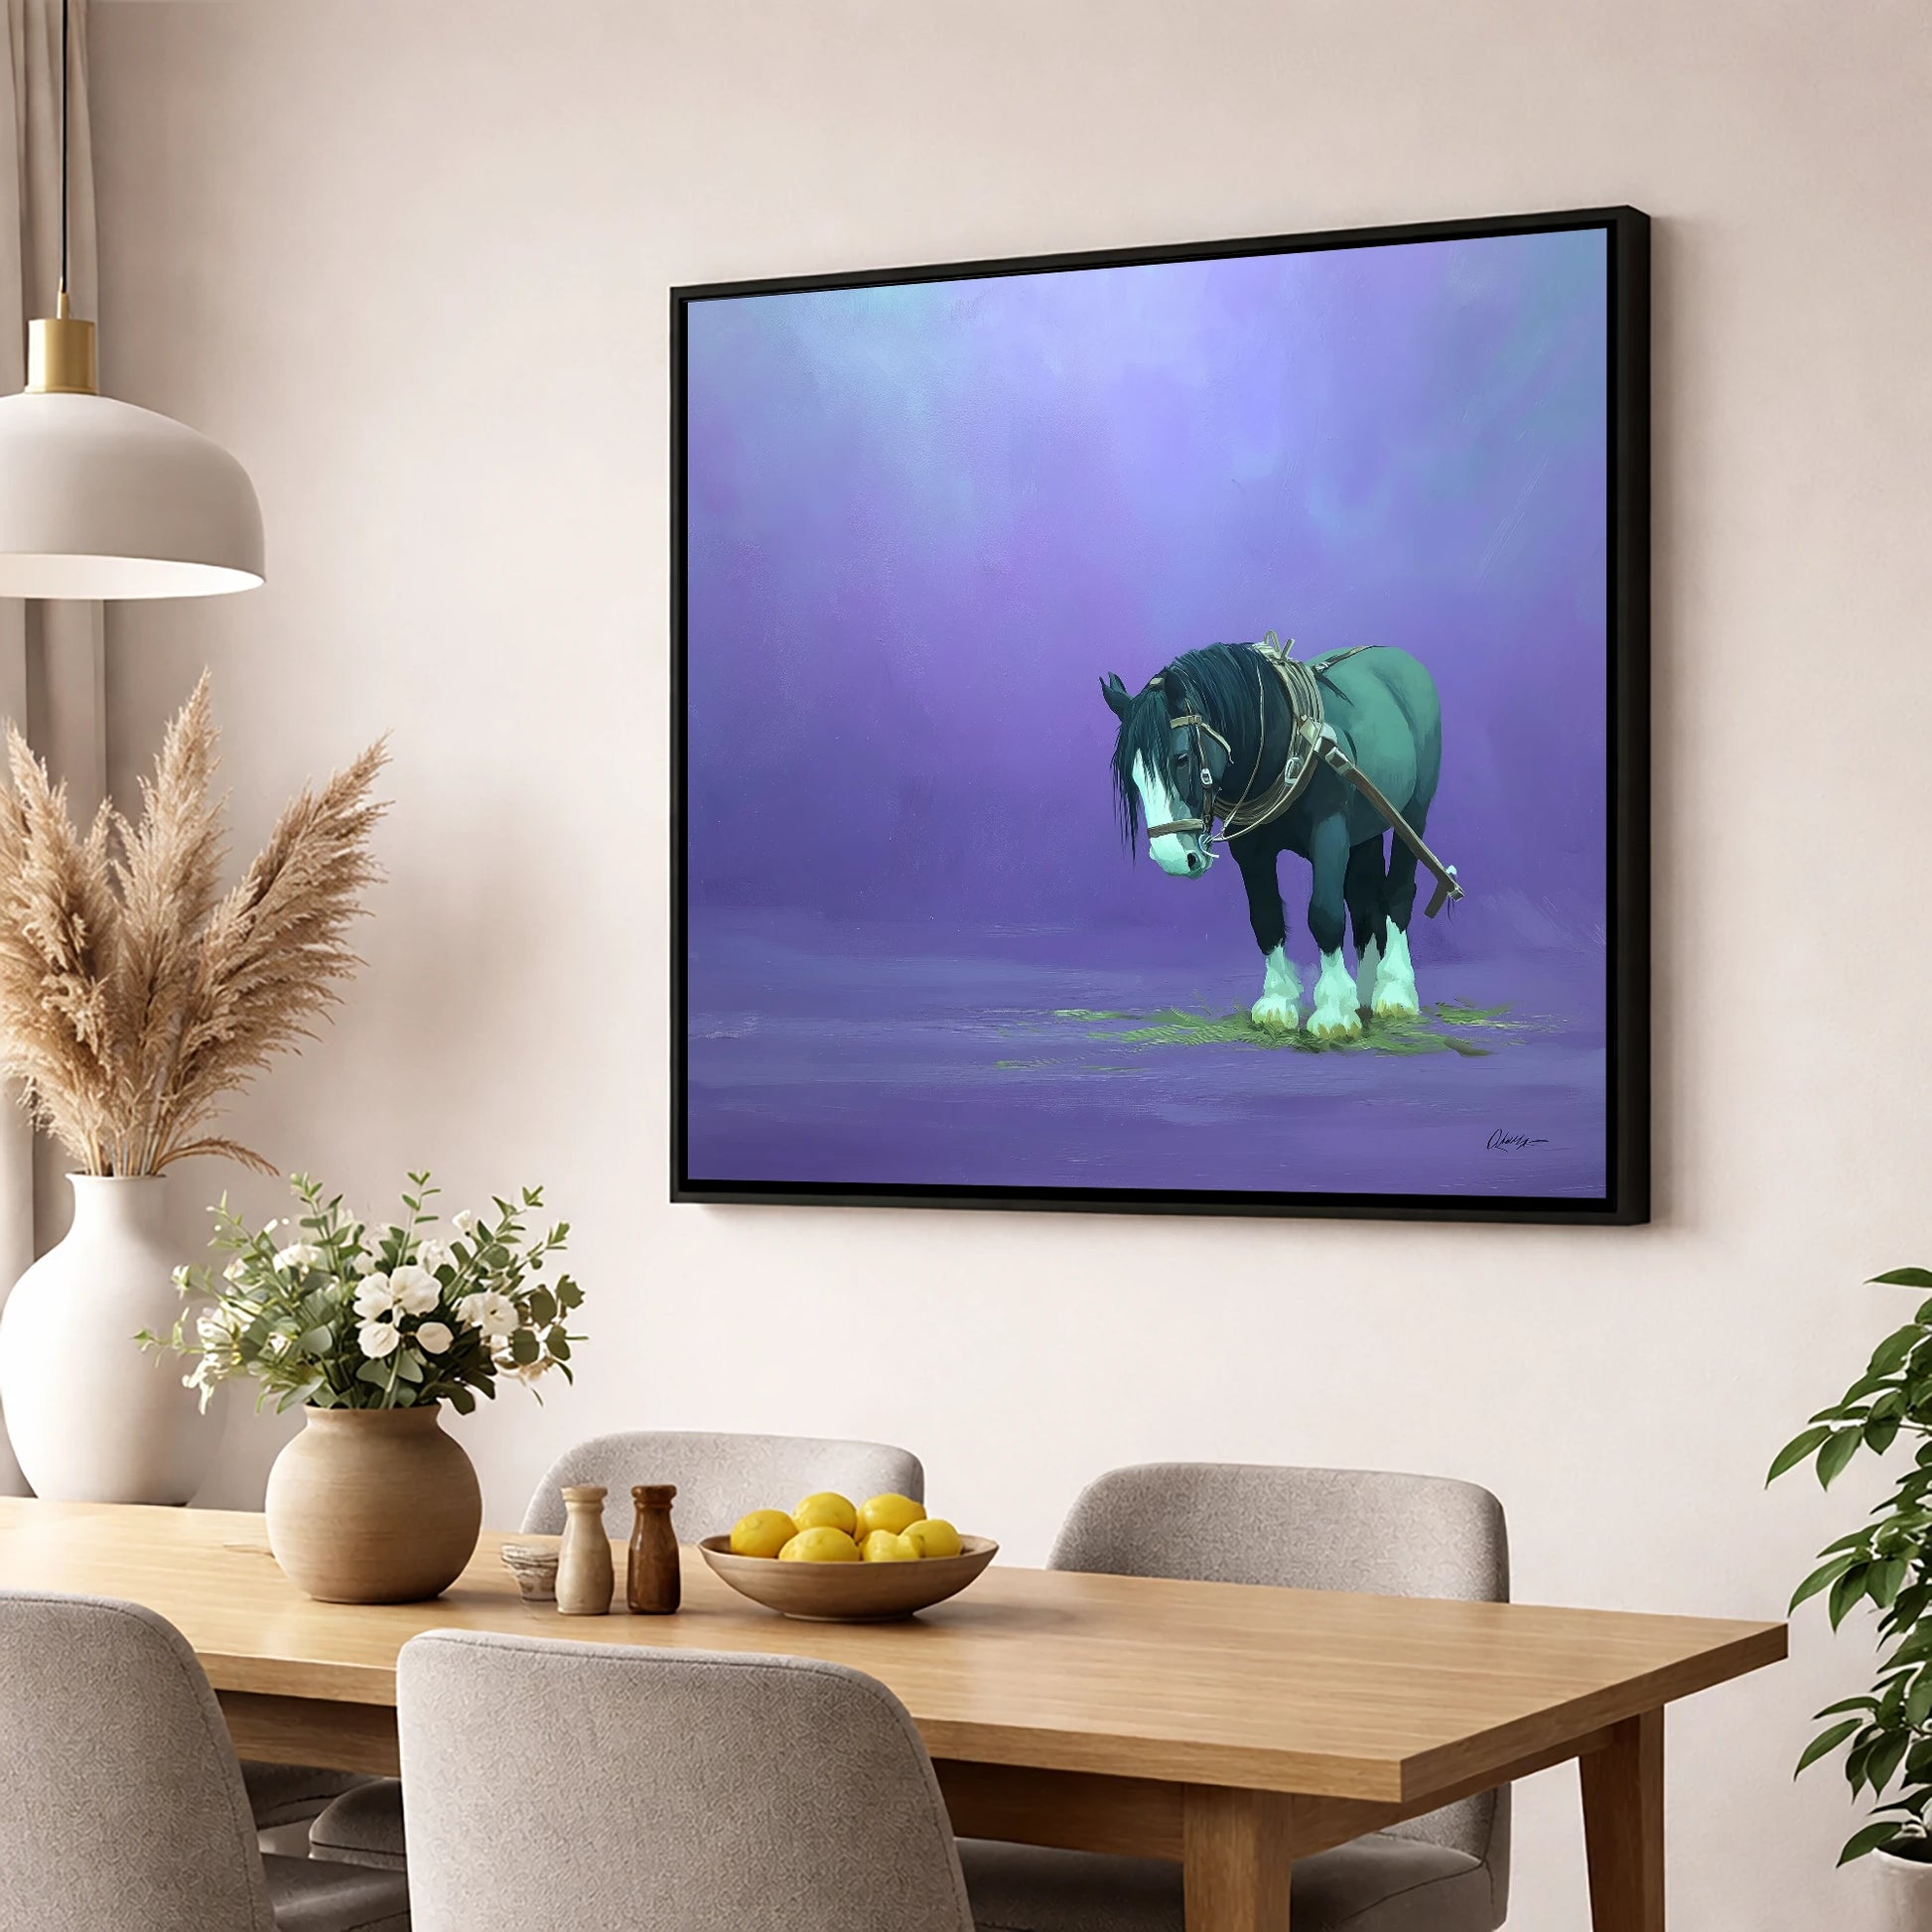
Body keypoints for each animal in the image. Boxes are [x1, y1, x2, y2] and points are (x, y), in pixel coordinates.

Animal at [1101, 639, 1446, 1038]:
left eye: (1181, 758)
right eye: (1133, 775)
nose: (1172, 856)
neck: (1285, 747)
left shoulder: (1330, 833)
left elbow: (1324, 914)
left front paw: (1333, 1012)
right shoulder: (1250, 849)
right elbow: (1265, 917)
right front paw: (1278, 1003)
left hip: (1413, 813)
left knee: (1398, 891)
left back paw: (1394, 992)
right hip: (1366, 829)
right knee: (1364, 899)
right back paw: (1362, 995)